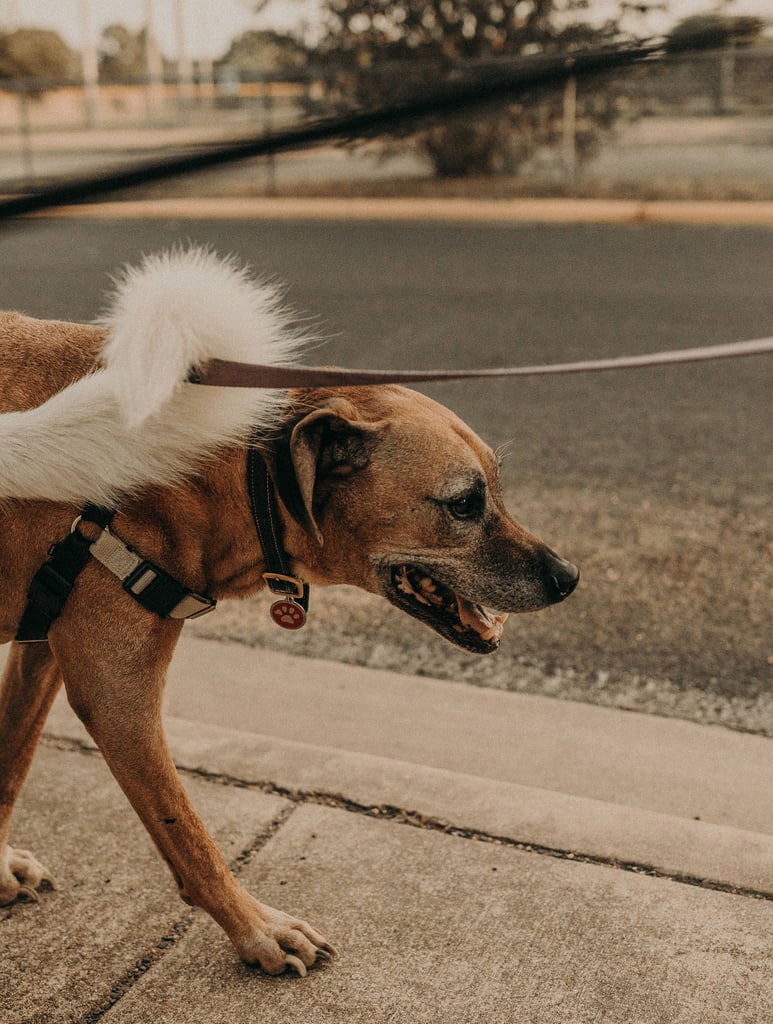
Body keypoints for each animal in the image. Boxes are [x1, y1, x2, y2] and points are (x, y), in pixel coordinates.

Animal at [0, 247, 577, 974]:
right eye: (463, 504)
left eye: (494, 490)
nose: (569, 577)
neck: (222, 473)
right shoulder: (117, 695)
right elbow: (188, 835)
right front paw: (256, 929)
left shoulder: (40, 649)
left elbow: (9, 765)